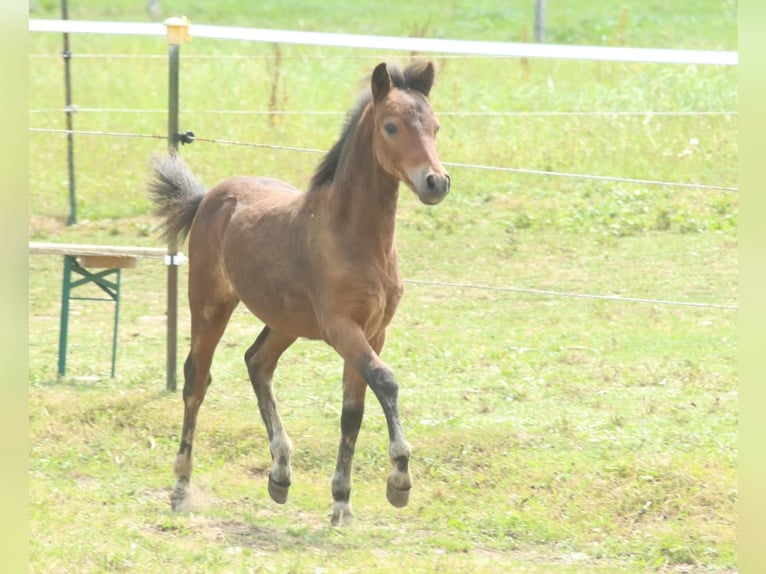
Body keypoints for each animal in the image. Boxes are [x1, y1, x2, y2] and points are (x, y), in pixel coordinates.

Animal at [148, 61, 450, 525]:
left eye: (435, 126)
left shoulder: (374, 331)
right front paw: (399, 479)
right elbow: (386, 380)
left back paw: (280, 473)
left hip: (284, 320)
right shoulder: (342, 328)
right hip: (210, 306)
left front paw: (342, 501)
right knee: (197, 380)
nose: (436, 182)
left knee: (257, 362)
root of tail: (210, 197)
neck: (355, 237)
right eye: (391, 127)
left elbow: (353, 412)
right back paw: (181, 487)